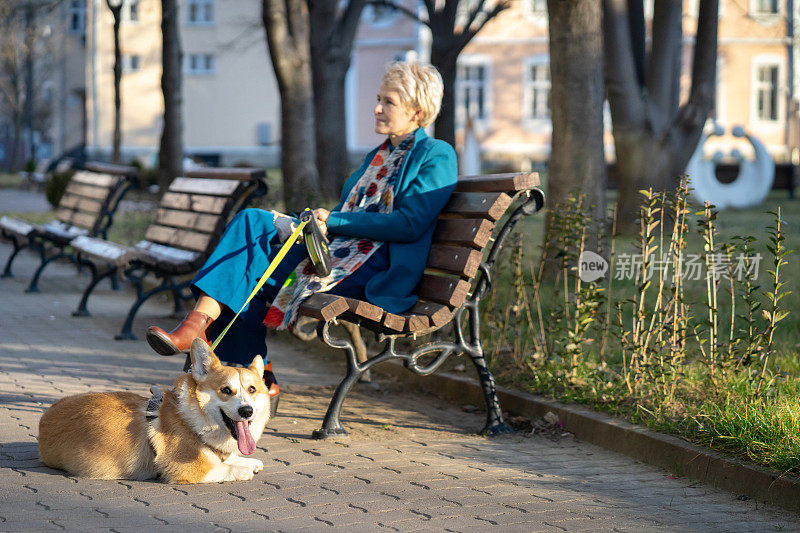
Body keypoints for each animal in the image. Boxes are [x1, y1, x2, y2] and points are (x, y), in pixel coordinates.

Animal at [38, 338, 272, 484]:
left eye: (252, 389)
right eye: (226, 390)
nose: (246, 411)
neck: (191, 419)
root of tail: (44, 421)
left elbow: (228, 458)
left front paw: (251, 462)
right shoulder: (187, 469)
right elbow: (225, 468)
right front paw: (244, 469)